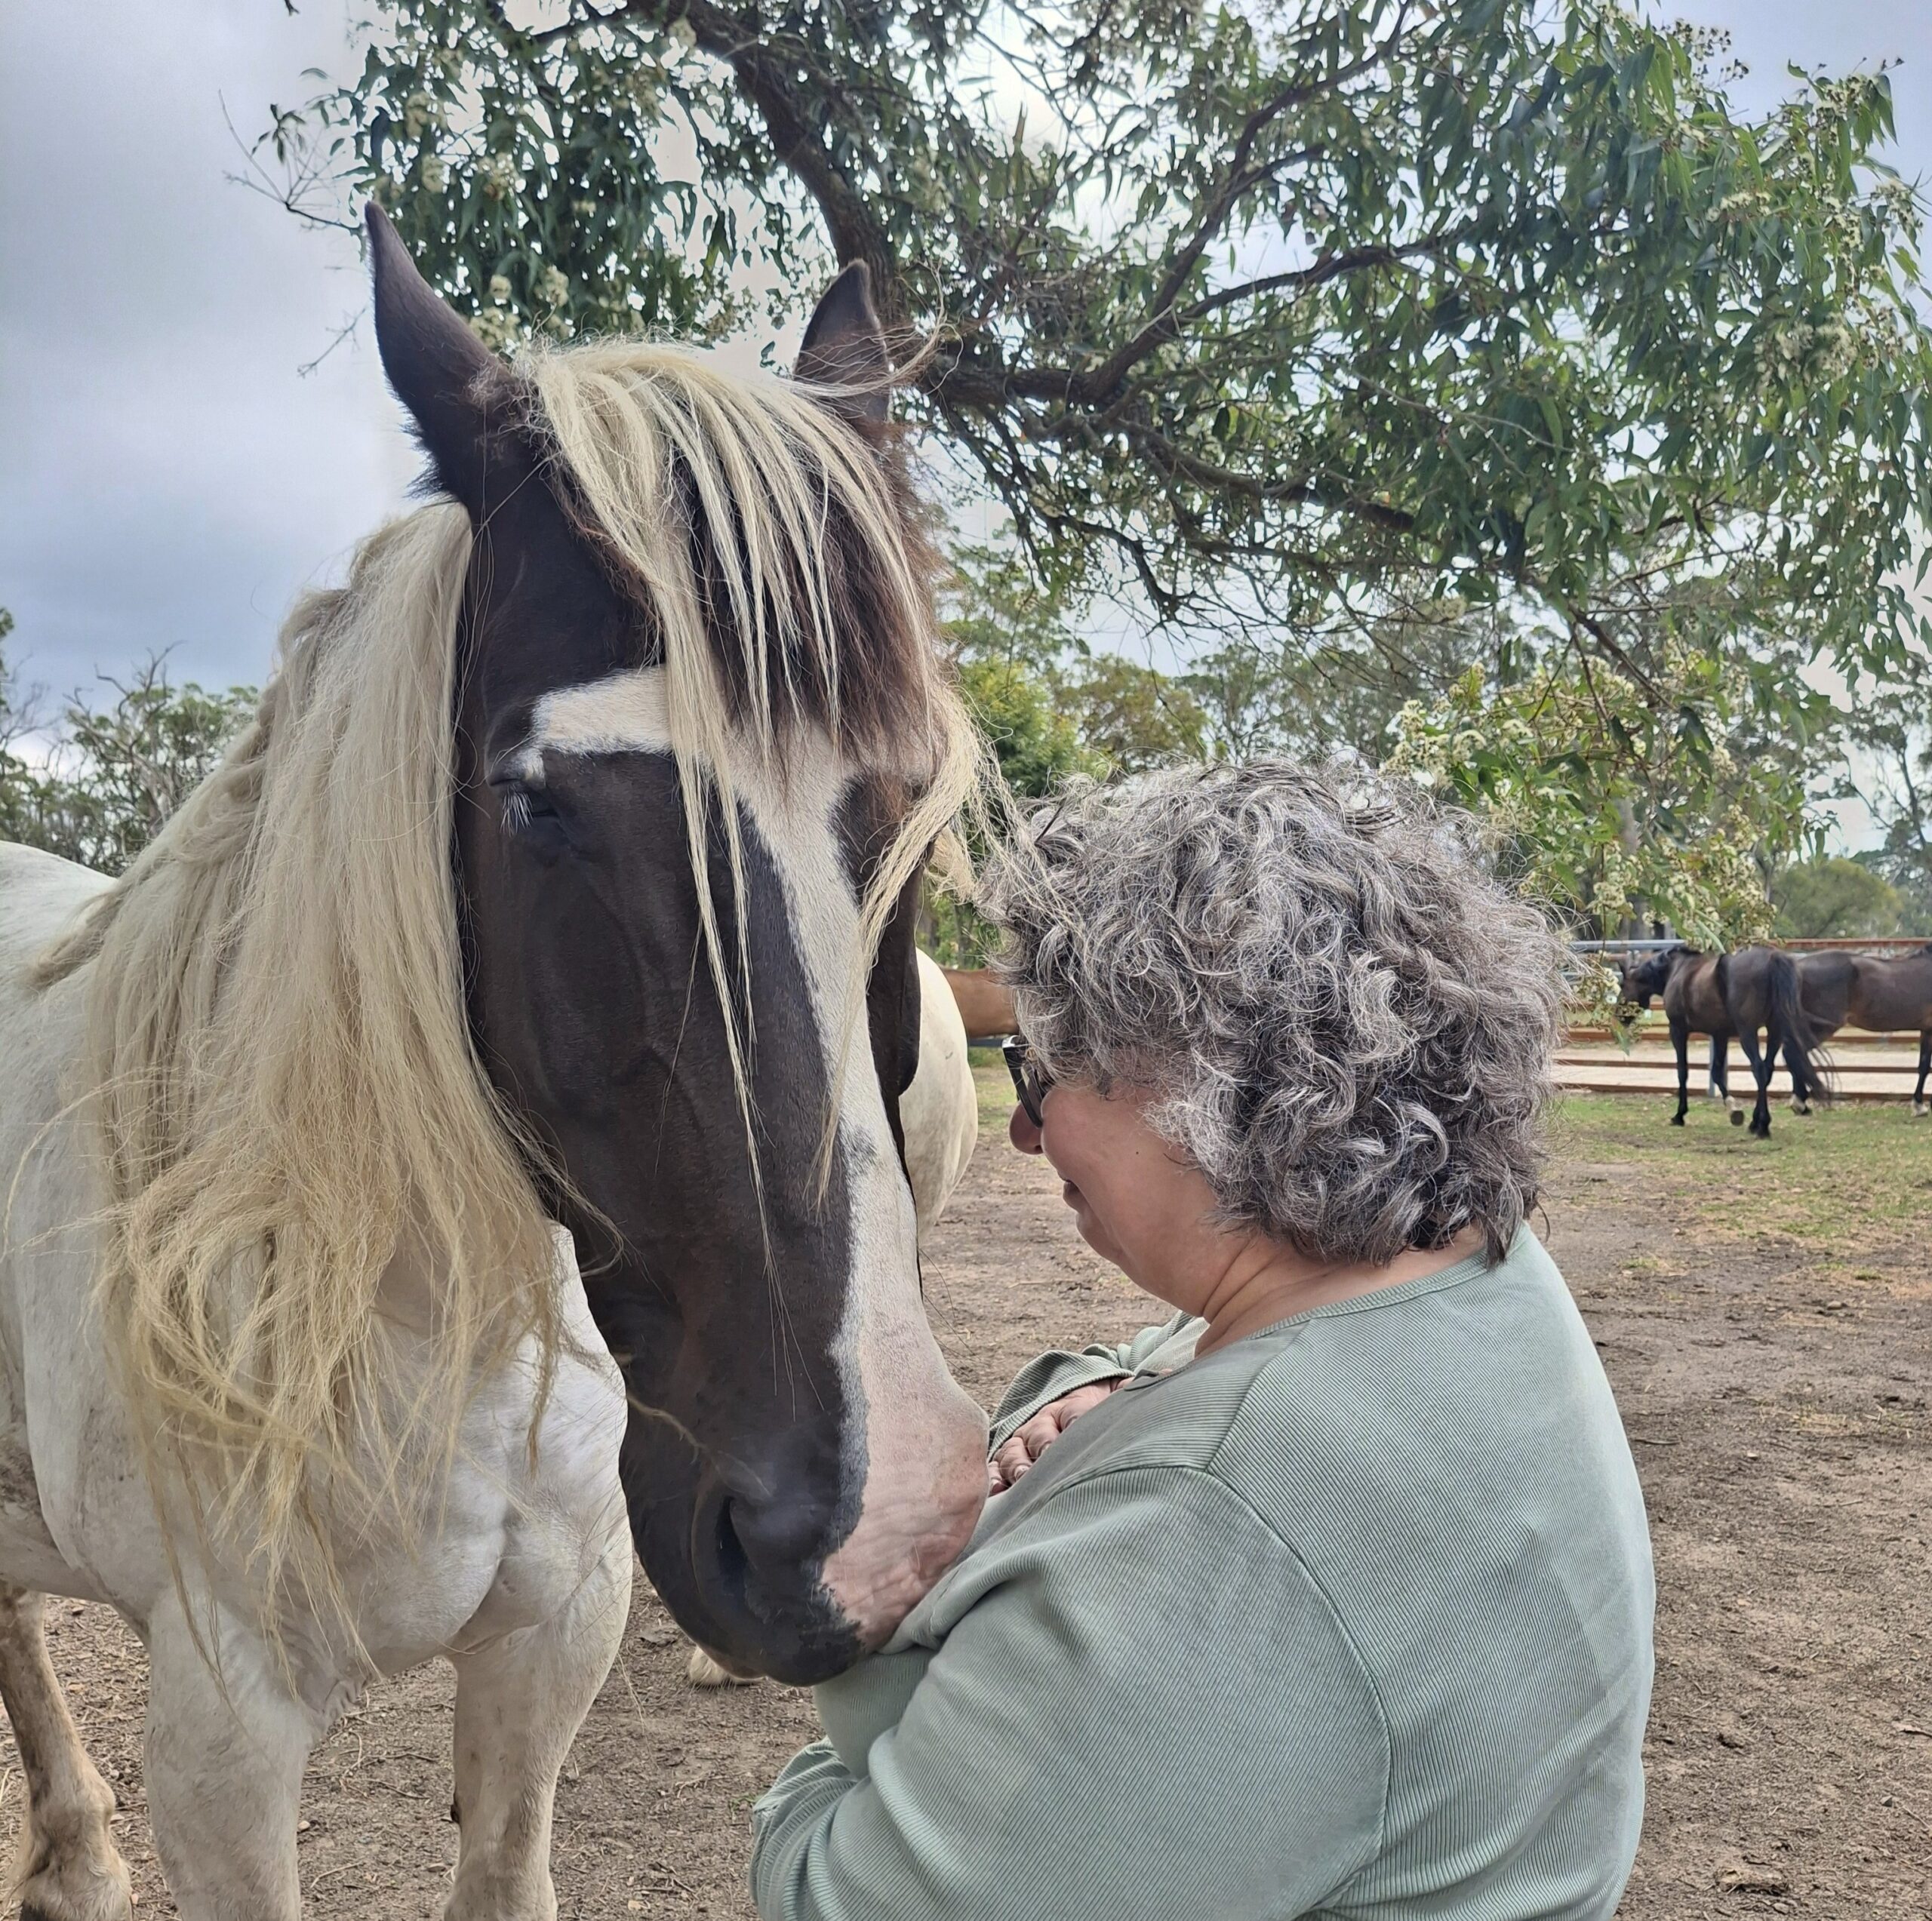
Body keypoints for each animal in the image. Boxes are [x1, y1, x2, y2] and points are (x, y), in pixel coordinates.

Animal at [1617, 945, 1821, 1137]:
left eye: (1622, 985)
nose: (1619, 1015)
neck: (1676, 970)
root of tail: (1773, 958)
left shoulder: (1678, 1030)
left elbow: (1683, 1072)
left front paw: (1680, 1115)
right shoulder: (1720, 1034)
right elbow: (1716, 1073)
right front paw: (1734, 1109)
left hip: (1748, 1033)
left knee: (1759, 1069)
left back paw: (1762, 1126)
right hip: (1774, 1031)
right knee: (1768, 1069)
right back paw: (1755, 1123)